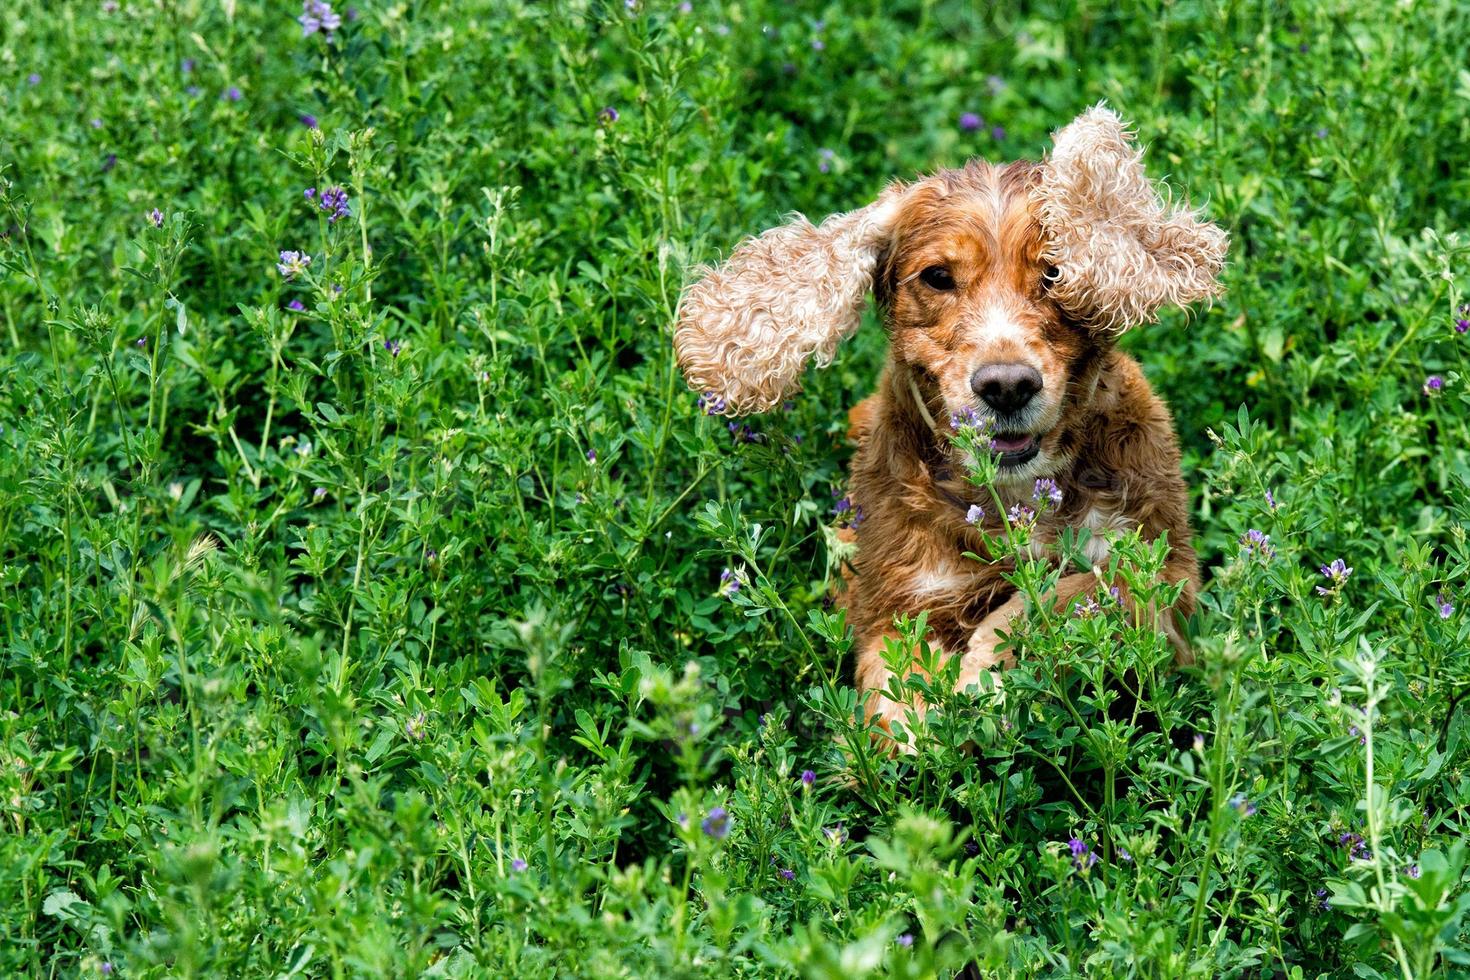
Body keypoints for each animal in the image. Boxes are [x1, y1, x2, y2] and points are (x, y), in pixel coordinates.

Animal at [673, 103, 1223, 743]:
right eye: (937, 276)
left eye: (1054, 273)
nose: (1007, 386)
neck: (1014, 496)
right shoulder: (902, 596)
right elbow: (896, 690)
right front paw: (922, 727)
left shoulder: (1167, 573)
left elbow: (1068, 594)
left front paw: (986, 671)